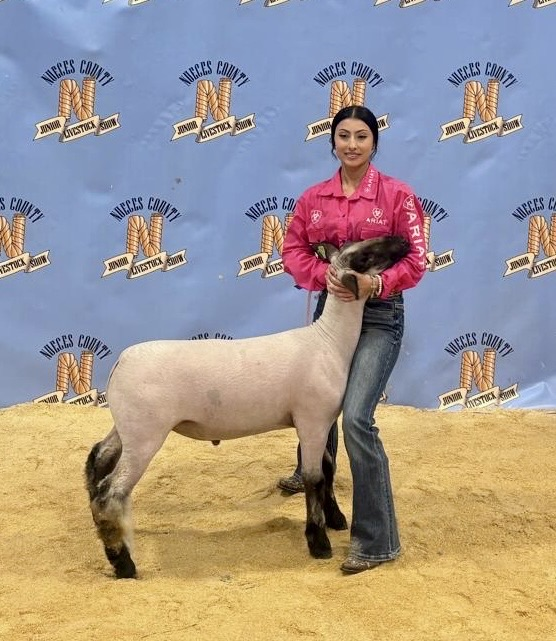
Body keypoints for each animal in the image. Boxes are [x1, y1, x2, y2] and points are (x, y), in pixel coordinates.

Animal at [85, 235, 409, 578]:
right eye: (365, 256)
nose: (403, 240)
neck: (330, 341)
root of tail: (122, 361)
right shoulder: (311, 421)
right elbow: (314, 477)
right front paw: (319, 543)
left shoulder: (322, 422)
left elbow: (329, 468)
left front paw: (335, 519)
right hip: (145, 435)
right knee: (111, 492)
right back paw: (124, 563)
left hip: (127, 426)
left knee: (98, 457)